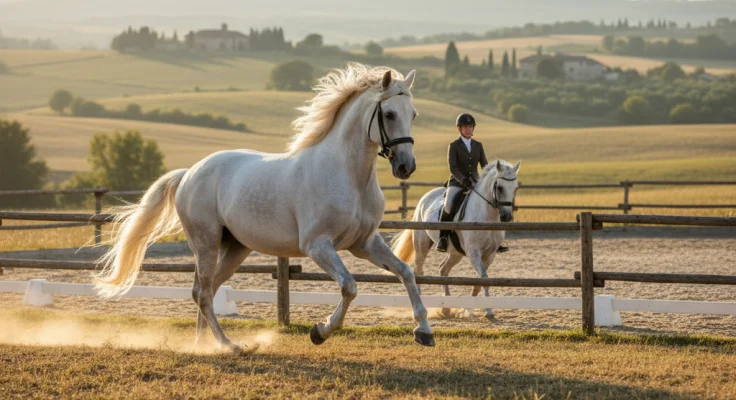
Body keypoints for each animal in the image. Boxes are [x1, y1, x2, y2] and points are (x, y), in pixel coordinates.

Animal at [94, 63, 436, 351]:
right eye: (389, 114)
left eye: (414, 113)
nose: (406, 167)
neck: (349, 175)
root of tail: (190, 173)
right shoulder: (317, 246)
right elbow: (349, 286)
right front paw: (319, 331)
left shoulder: (364, 243)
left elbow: (406, 272)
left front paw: (424, 331)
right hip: (205, 242)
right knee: (202, 292)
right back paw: (229, 345)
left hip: (235, 248)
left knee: (206, 289)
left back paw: (203, 344)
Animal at [391, 160, 520, 319]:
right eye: (500, 187)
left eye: (515, 188)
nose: (507, 217)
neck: (487, 216)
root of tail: (426, 196)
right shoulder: (473, 252)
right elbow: (483, 278)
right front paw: (488, 311)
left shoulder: (490, 254)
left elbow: (479, 280)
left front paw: (467, 310)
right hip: (422, 244)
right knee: (418, 271)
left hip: (456, 253)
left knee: (443, 269)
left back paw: (446, 308)